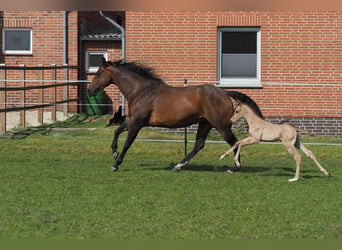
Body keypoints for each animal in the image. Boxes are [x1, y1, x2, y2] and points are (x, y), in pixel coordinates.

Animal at [87, 58, 262, 172]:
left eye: (98, 73)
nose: (90, 90)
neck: (141, 91)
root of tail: (224, 92)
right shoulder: (135, 121)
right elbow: (117, 131)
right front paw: (114, 152)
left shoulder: (137, 123)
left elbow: (128, 143)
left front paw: (116, 164)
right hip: (205, 123)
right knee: (199, 144)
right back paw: (179, 165)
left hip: (221, 125)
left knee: (234, 142)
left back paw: (236, 167)